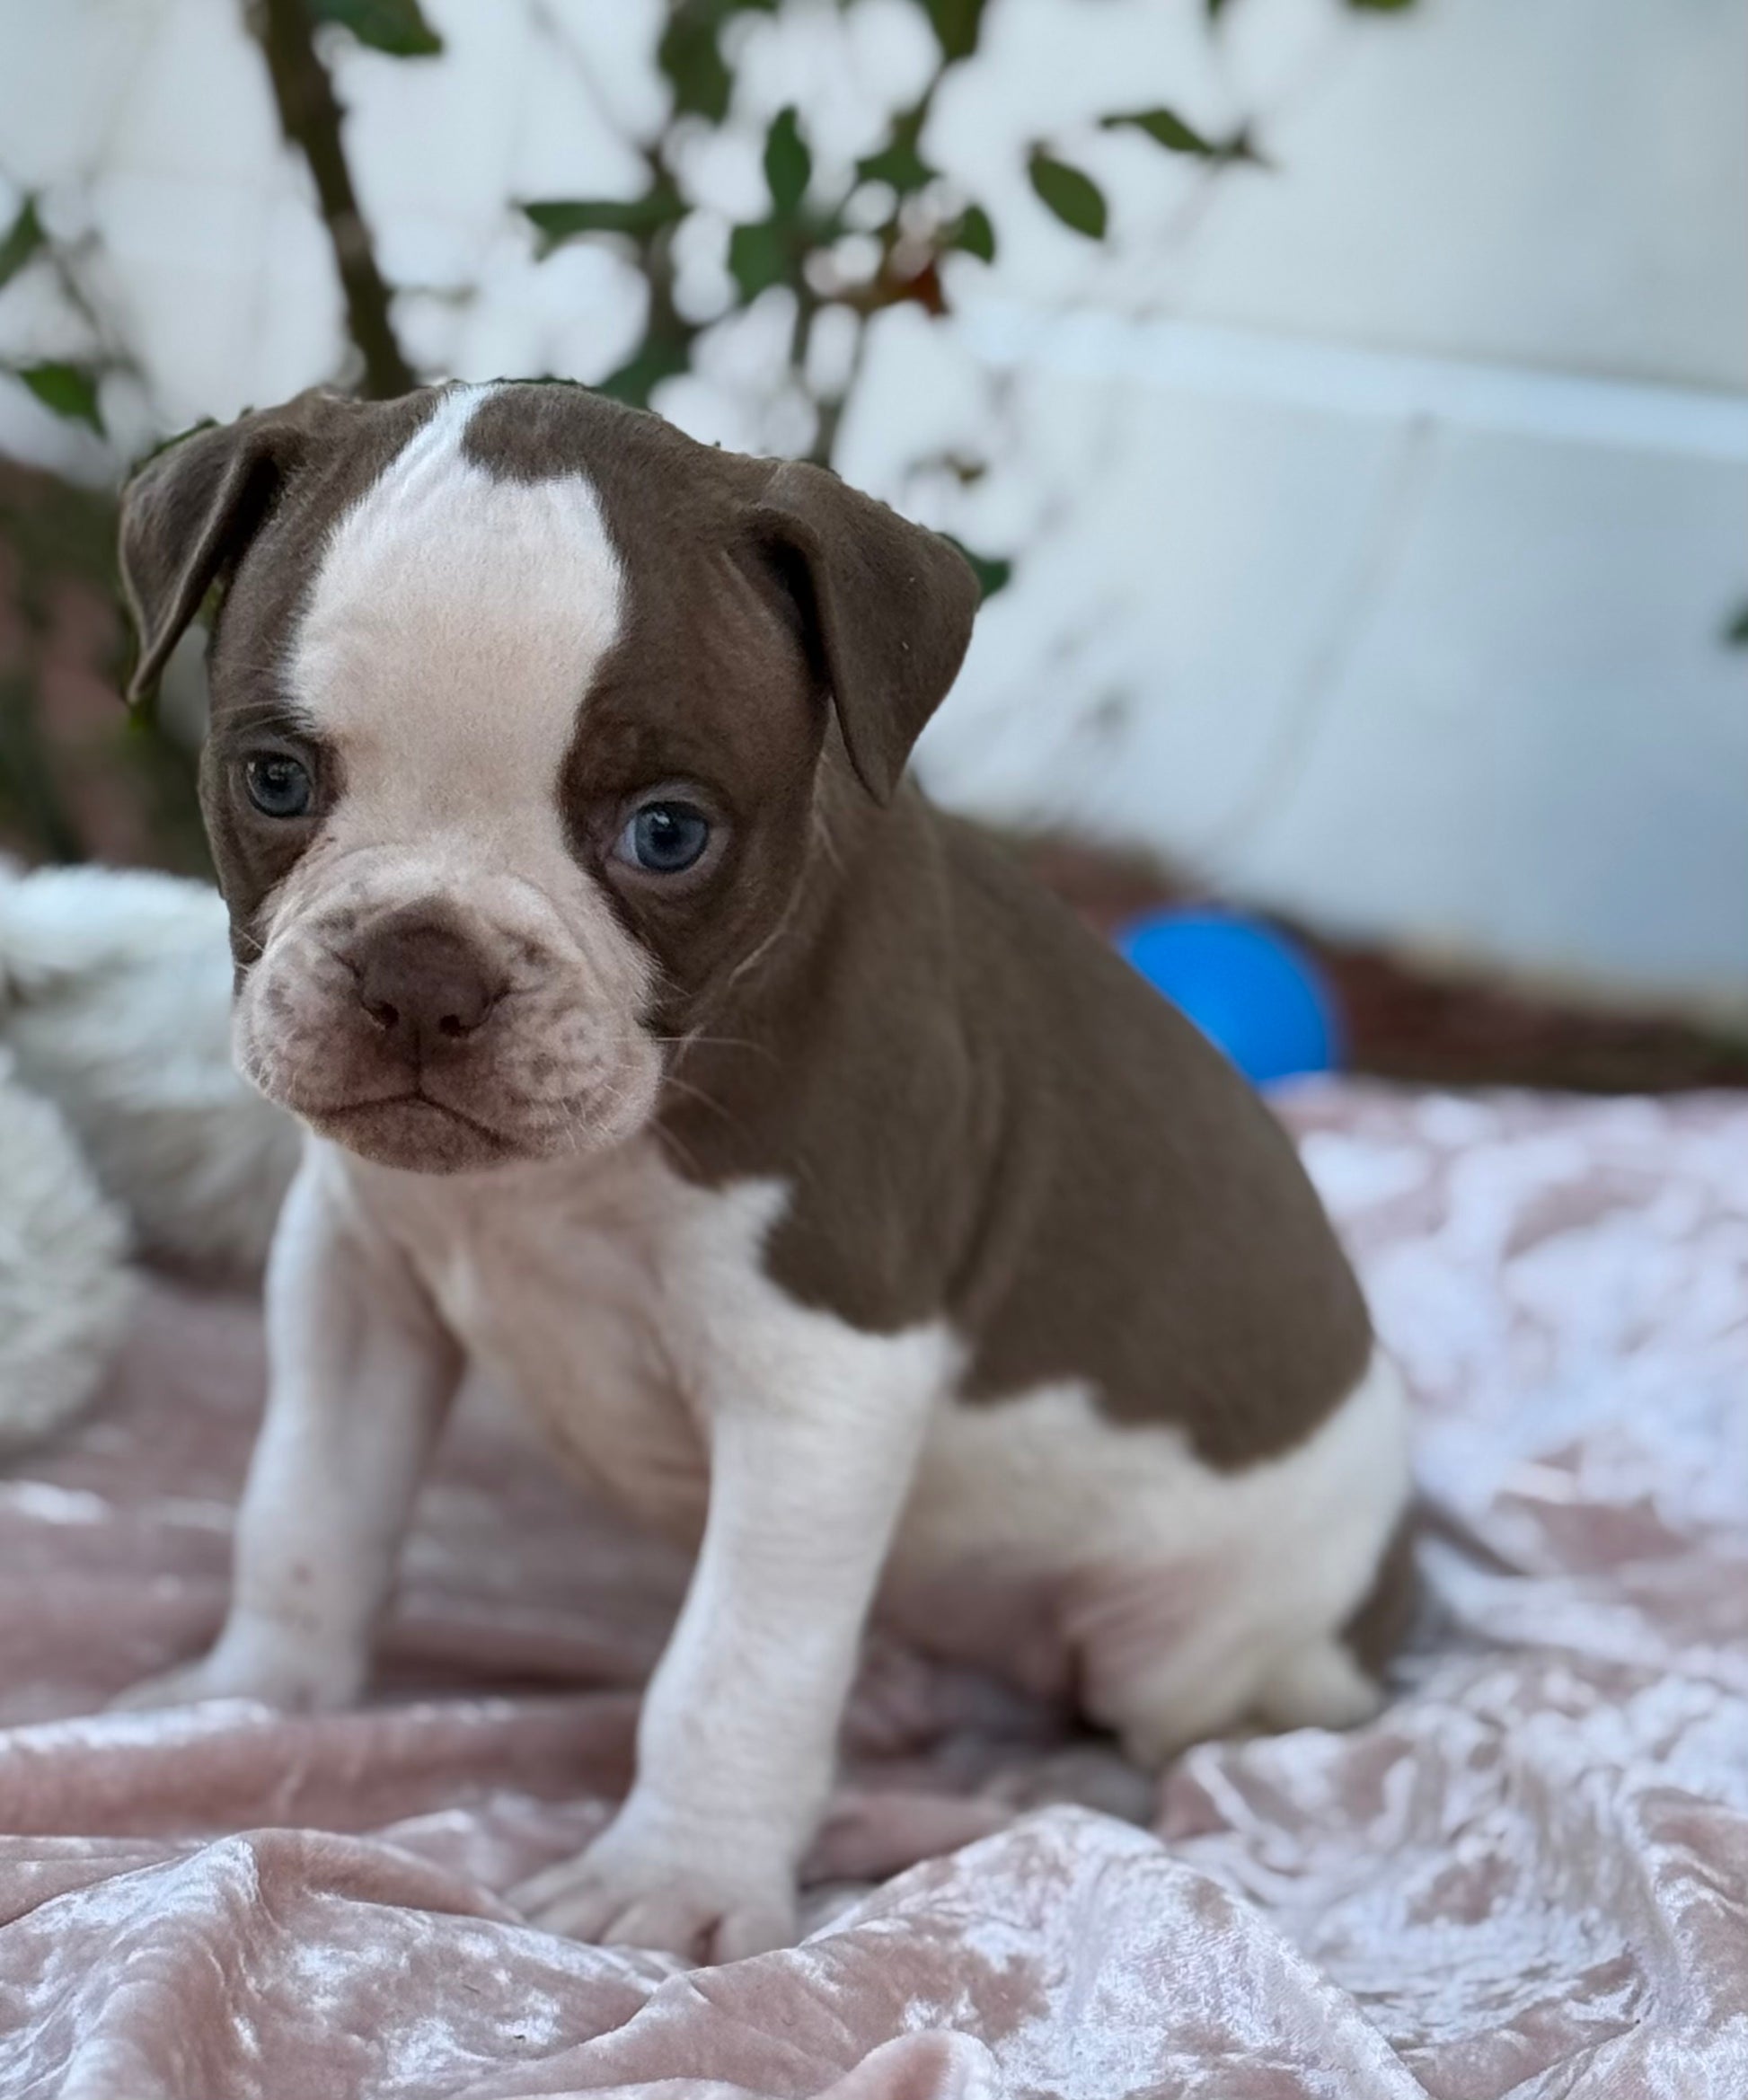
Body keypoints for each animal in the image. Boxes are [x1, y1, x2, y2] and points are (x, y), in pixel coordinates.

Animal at [114, 380, 1412, 1962]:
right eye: (277, 777)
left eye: (667, 832)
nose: (423, 970)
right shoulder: (357, 1282)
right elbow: (306, 1507)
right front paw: (248, 1696)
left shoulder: (820, 1385)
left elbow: (737, 1660)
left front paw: (676, 1876)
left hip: (1200, 1636)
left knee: (1214, 1731)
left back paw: (1044, 1779)